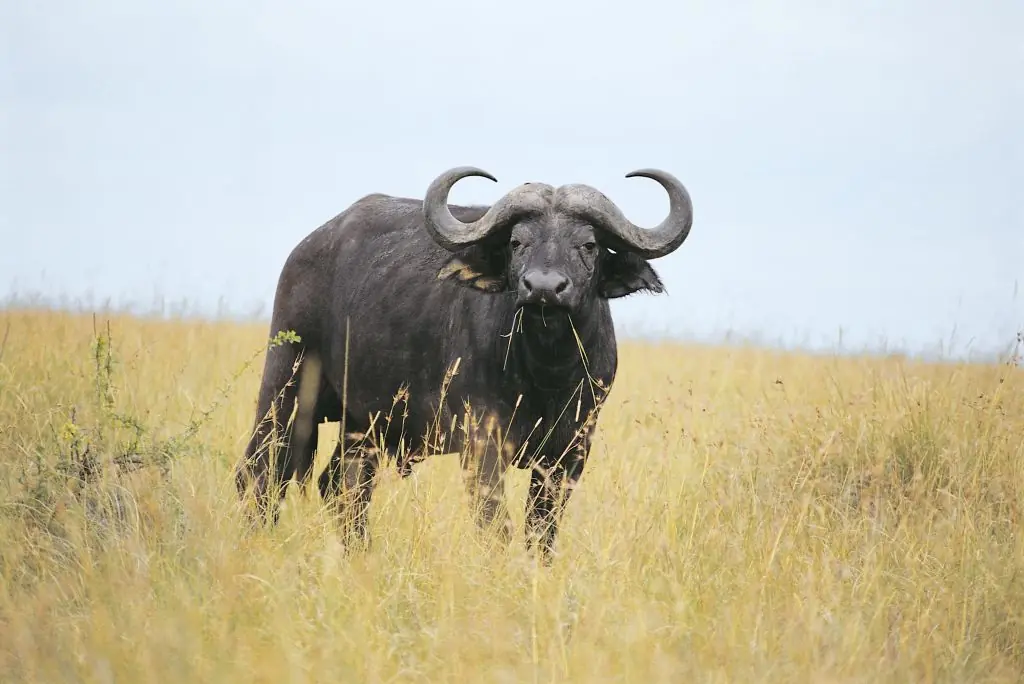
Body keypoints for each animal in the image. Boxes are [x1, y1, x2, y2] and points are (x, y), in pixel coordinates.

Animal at [235, 165, 694, 562]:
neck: (547, 372)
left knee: (342, 486)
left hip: (365, 423)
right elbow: (495, 524)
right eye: (517, 242)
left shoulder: (570, 452)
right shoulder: (483, 442)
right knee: (261, 473)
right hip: (285, 389)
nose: (544, 288)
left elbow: (541, 530)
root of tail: (307, 248)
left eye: (589, 245)